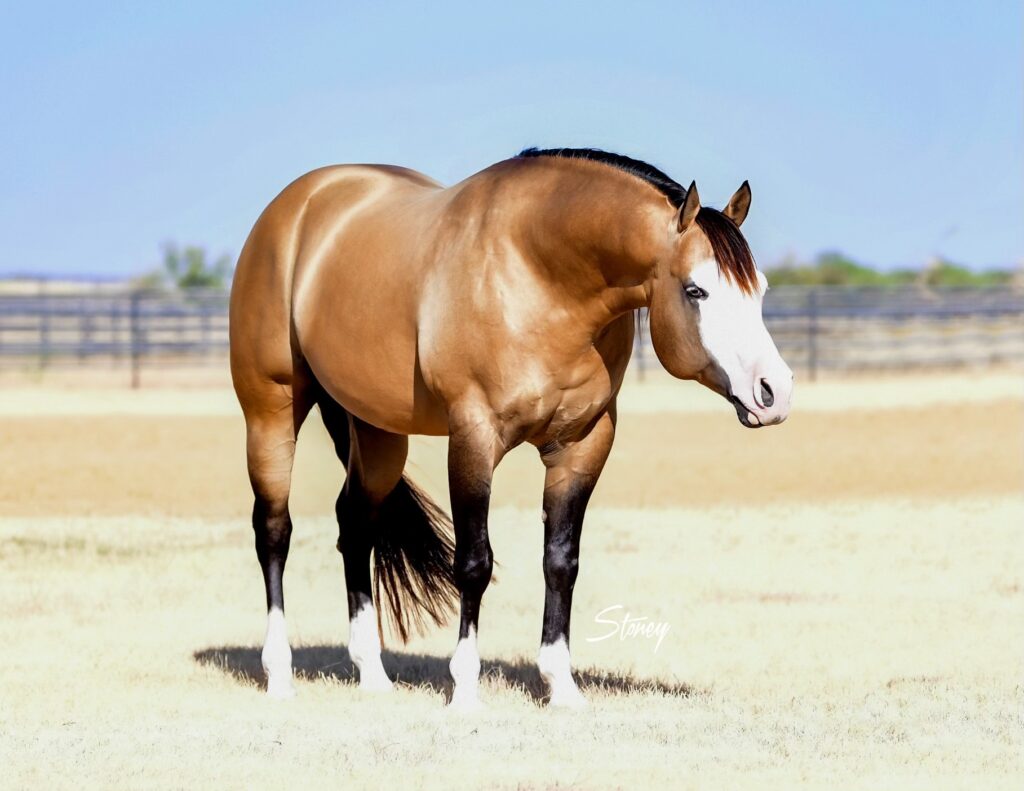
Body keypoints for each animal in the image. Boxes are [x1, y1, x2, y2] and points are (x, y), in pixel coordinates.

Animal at [230, 148, 790, 709]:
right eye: (697, 290)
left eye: (760, 289)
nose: (775, 392)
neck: (538, 277)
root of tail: (296, 206)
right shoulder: (474, 436)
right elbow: (474, 562)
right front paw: (464, 690)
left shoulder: (582, 445)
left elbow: (561, 561)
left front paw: (561, 687)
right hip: (272, 411)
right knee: (274, 531)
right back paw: (279, 675)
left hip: (377, 433)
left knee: (355, 525)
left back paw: (372, 674)